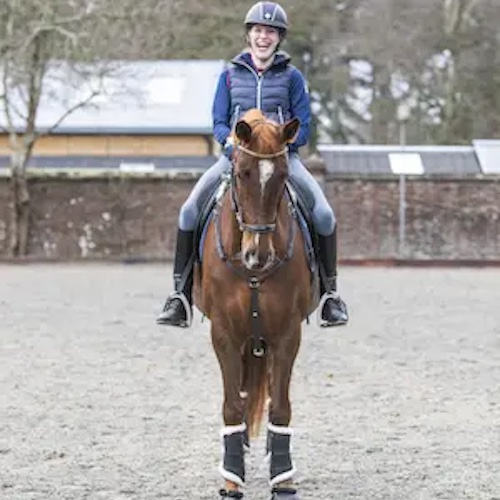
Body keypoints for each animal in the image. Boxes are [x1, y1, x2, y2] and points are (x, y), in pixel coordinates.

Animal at [192, 110, 316, 500]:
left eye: (282, 176)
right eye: (242, 172)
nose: (256, 255)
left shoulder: (287, 334)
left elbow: (280, 407)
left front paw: (283, 478)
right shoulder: (224, 334)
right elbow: (233, 405)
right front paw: (232, 478)